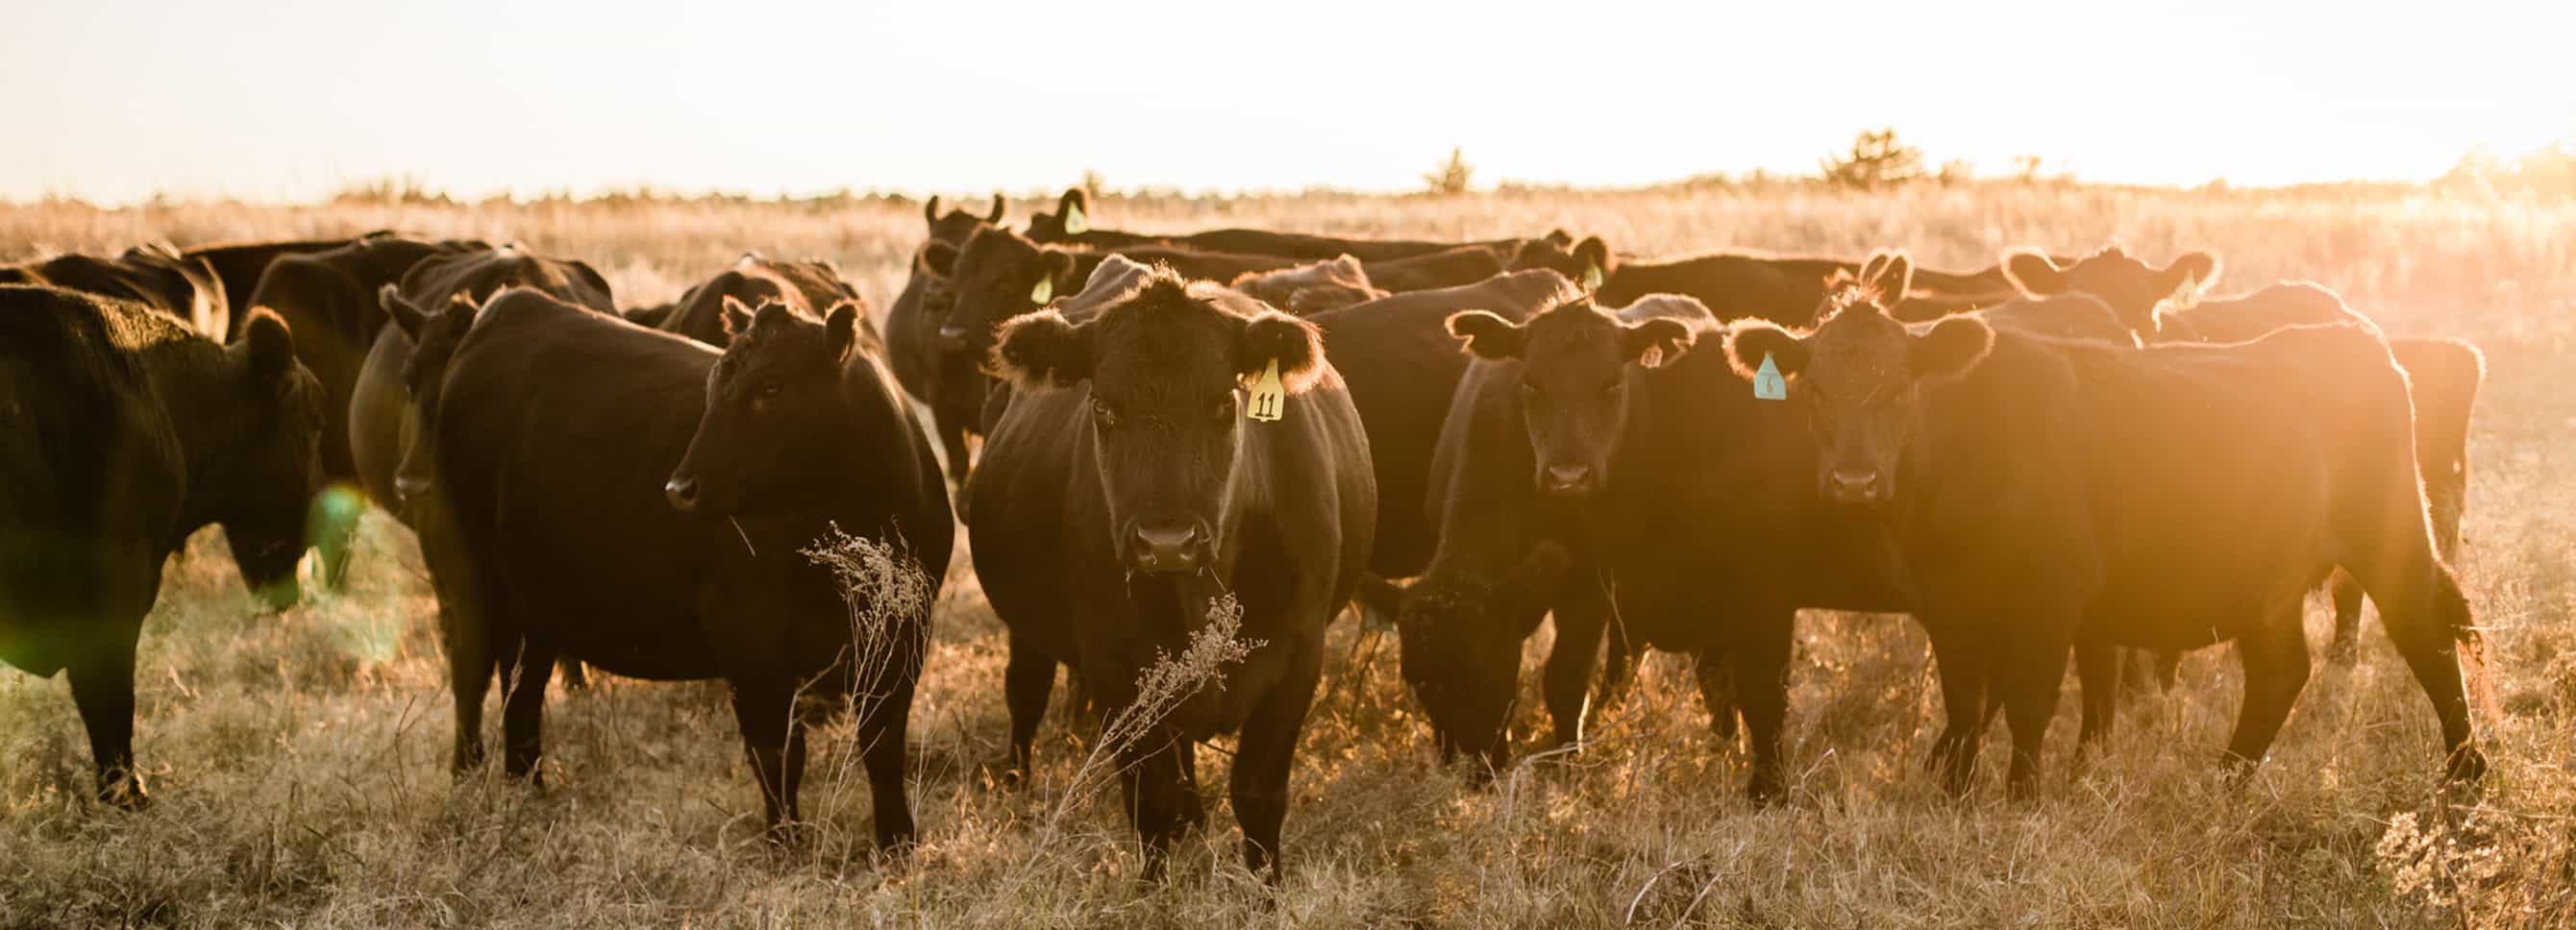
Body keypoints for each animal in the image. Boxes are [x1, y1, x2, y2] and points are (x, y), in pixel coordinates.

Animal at [386, 287, 949, 847]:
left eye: (772, 386)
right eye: (714, 387)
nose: (681, 488)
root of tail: (509, 306)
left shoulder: (904, 630)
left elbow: (882, 742)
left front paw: (898, 841)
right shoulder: (745, 631)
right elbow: (777, 752)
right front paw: (785, 843)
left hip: (534, 604)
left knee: (521, 691)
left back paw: (527, 792)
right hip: (468, 578)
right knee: (471, 674)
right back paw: (467, 779)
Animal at [967, 267, 1374, 879]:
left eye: (1224, 403)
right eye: (1103, 408)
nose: (1166, 543)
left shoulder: (1301, 654)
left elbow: (1258, 792)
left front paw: (1268, 886)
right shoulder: (1113, 662)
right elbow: (1150, 795)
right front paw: (1155, 887)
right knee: (1026, 691)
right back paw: (1018, 781)